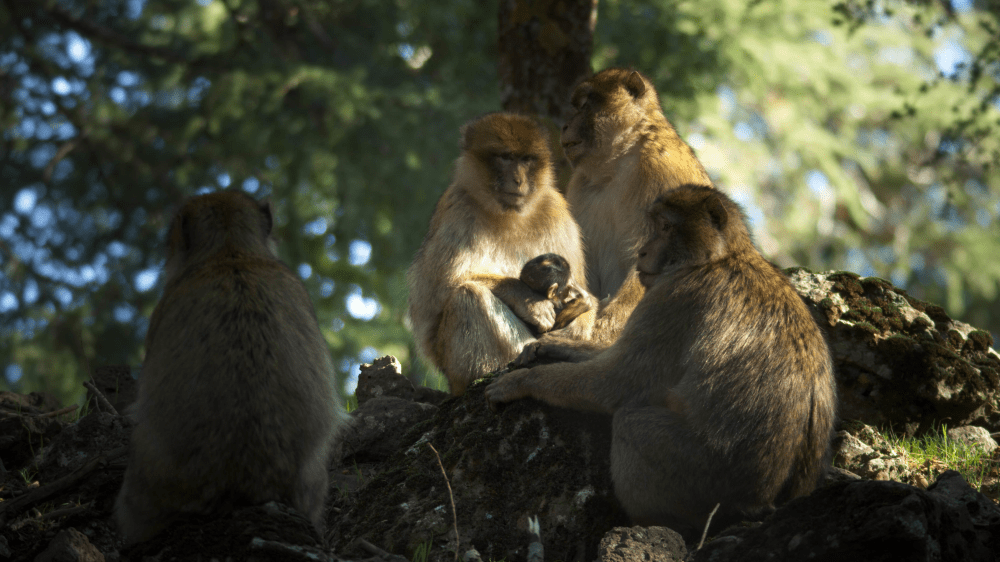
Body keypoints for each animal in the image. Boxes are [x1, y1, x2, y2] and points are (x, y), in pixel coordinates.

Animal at [484, 183, 836, 532]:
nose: (642, 251)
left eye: (666, 227)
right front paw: (553, 346)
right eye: (655, 226)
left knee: (630, 422)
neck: (719, 258)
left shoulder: (674, 296)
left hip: (702, 476)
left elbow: (616, 384)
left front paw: (523, 381)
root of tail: (766, 502)